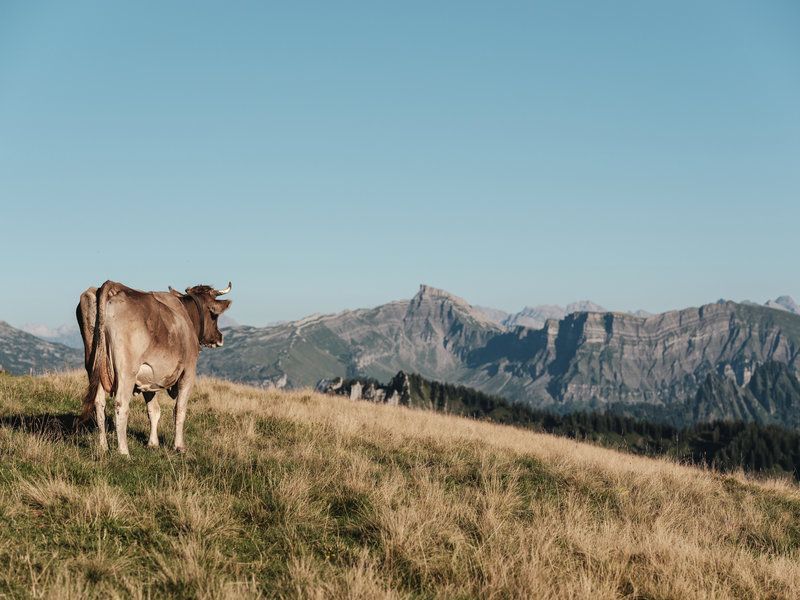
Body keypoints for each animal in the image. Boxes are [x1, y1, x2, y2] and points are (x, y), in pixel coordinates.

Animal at [76, 280, 232, 455]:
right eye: (214, 315)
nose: (219, 337)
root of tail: (112, 286)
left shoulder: (149, 377)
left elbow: (153, 410)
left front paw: (152, 443)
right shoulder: (189, 372)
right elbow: (179, 410)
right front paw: (179, 446)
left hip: (94, 366)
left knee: (99, 404)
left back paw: (103, 447)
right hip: (126, 371)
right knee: (121, 404)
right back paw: (123, 452)